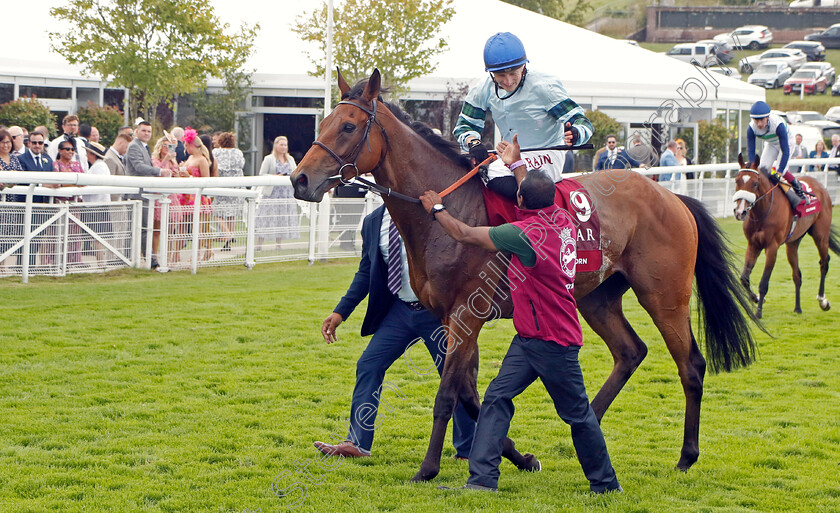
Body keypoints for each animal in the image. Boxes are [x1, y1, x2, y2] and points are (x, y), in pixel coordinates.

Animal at [292, 70, 756, 482]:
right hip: (597, 297)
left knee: (690, 365)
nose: (299, 179)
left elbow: (448, 396)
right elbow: (470, 395)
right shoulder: (448, 320)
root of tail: (671, 197)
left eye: (348, 126)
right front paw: (520, 456)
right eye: (325, 121)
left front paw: (428, 468)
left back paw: (686, 457)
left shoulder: (466, 316)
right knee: (630, 351)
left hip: (665, 296)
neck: (449, 209)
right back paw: (587, 426)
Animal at [732, 155, 836, 316]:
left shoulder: (772, 247)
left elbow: (764, 282)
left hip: (821, 235)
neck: (762, 213)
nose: (740, 212)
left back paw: (822, 300)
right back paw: (798, 308)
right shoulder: (753, 244)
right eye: (737, 181)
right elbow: (744, 278)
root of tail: (820, 187)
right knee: (797, 274)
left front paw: (759, 312)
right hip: (793, 243)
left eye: (755, 183)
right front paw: (756, 298)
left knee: (824, 262)